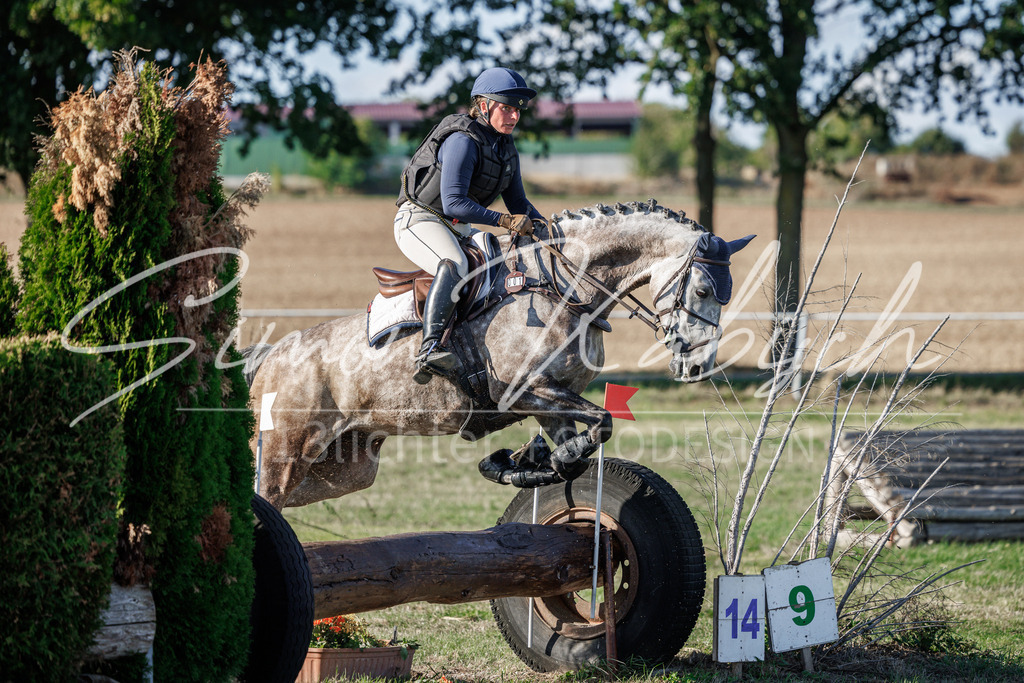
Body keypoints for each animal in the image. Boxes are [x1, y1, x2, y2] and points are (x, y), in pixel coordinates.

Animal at [243, 199, 754, 510]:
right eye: (704, 289)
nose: (697, 366)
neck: (563, 288)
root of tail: (271, 356)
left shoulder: (552, 399)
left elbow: (580, 445)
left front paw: (527, 463)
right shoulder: (522, 390)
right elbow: (602, 420)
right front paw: (523, 461)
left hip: (346, 465)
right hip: (288, 451)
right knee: (266, 495)